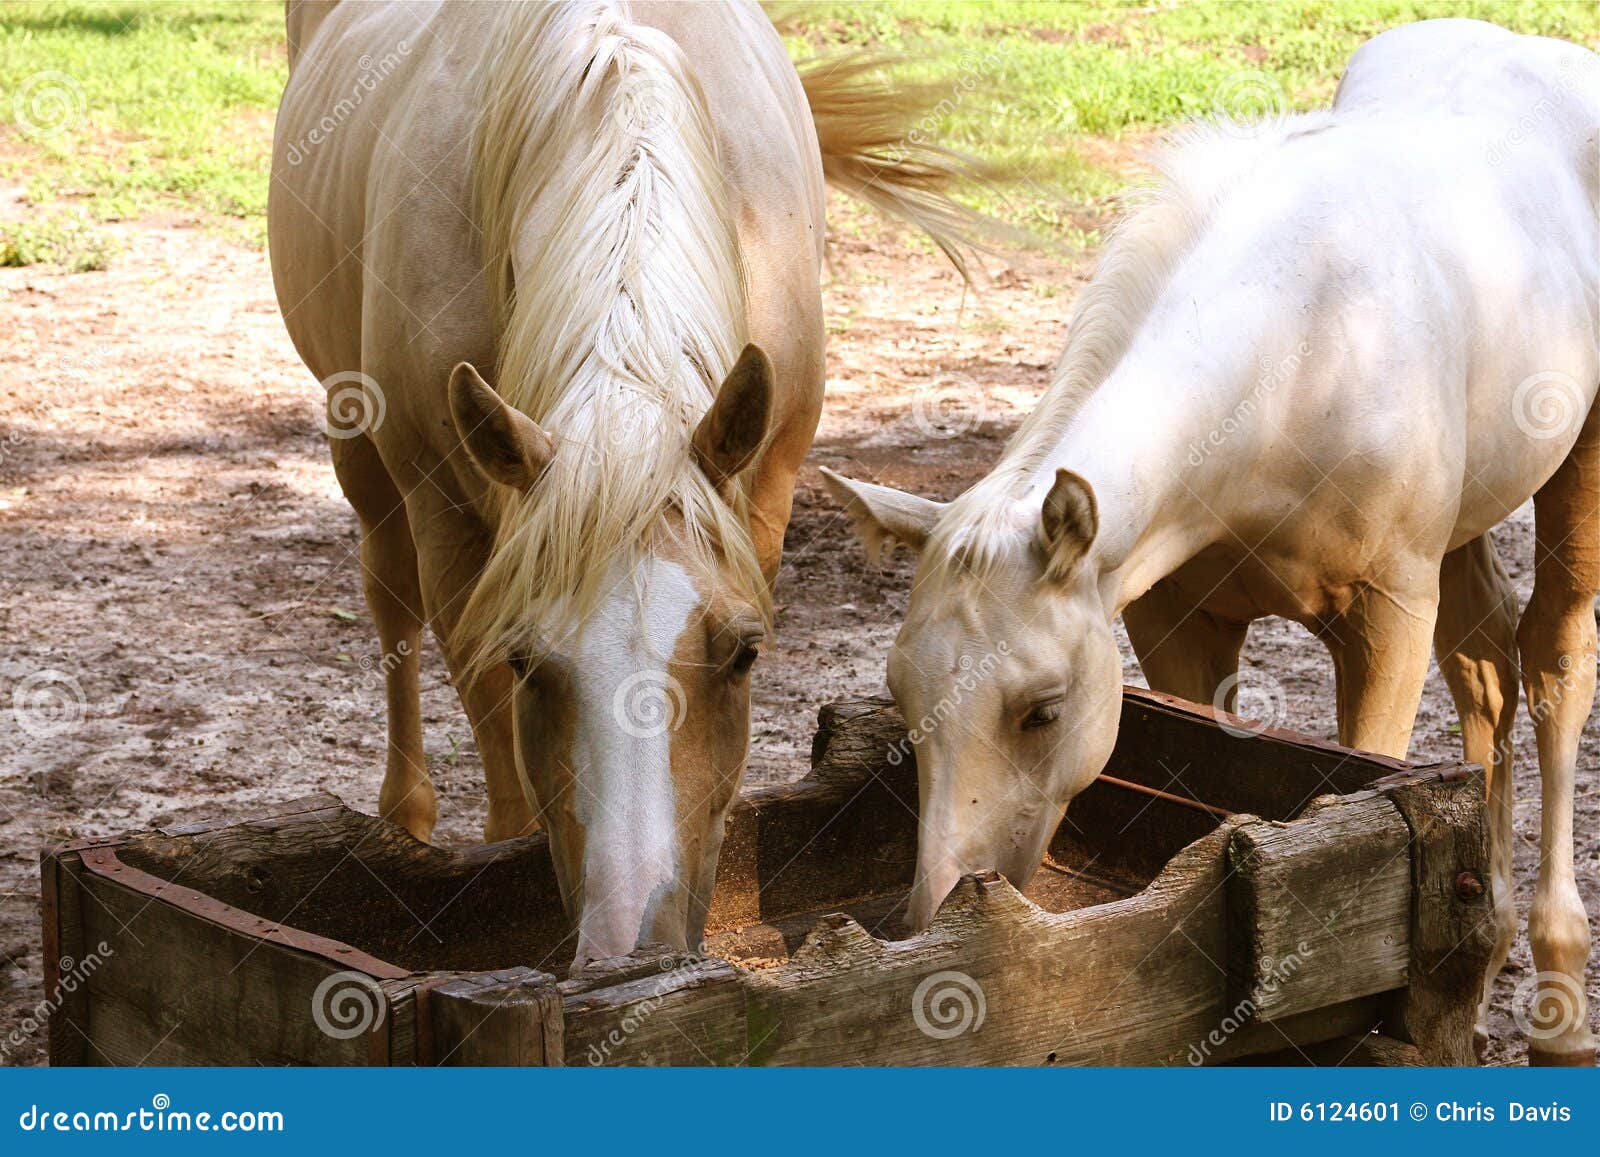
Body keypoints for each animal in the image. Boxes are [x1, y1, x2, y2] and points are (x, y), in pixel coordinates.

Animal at [269, 0, 976, 969]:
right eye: (529, 660)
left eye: (745, 652)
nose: (631, 944)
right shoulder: (453, 526)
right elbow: (499, 748)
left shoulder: (764, 495)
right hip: (362, 451)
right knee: (387, 601)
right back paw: (404, 816)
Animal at [824, 18, 1599, 1064]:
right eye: (901, 695)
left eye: (1041, 710)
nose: (936, 910)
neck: (1304, 347)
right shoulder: (1176, 621)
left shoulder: (1386, 615)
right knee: (1485, 666)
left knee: (1555, 658)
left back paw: (1560, 1002)